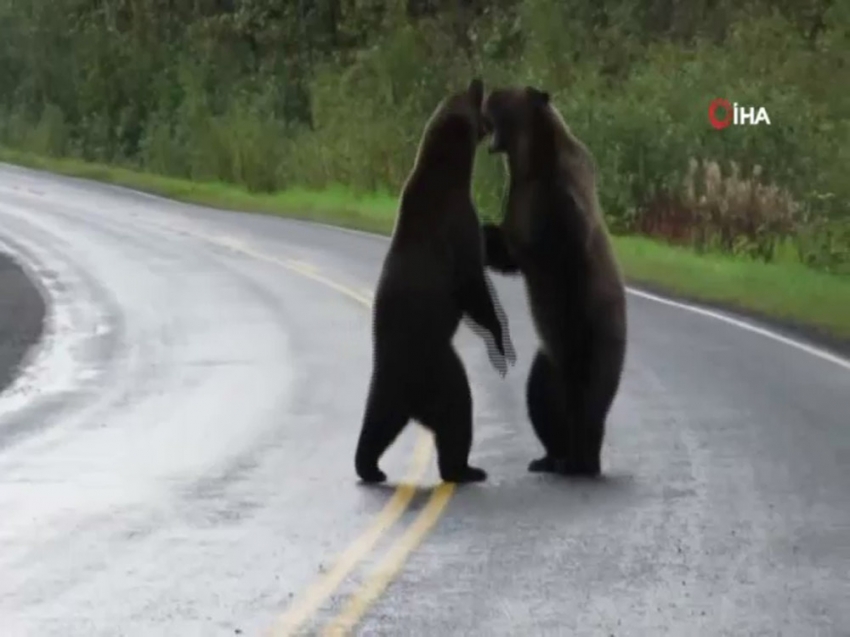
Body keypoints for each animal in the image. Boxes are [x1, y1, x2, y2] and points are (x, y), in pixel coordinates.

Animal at [352, 77, 512, 484]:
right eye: (477, 103)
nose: (479, 82)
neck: (450, 171)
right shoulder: (458, 224)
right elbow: (472, 284)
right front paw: (499, 338)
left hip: (387, 389)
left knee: (376, 425)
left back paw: (370, 466)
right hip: (440, 369)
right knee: (458, 414)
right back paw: (465, 469)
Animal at [480, 84, 628, 476]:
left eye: (504, 93)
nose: (487, 93)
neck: (530, 159)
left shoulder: (559, 204)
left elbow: (551, 251)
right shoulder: (518, 201)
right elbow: (506, 249)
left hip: (593, 347)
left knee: (586, 405)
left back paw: (580, 461)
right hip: (548, 361)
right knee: (541, 399)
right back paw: (549, 457)